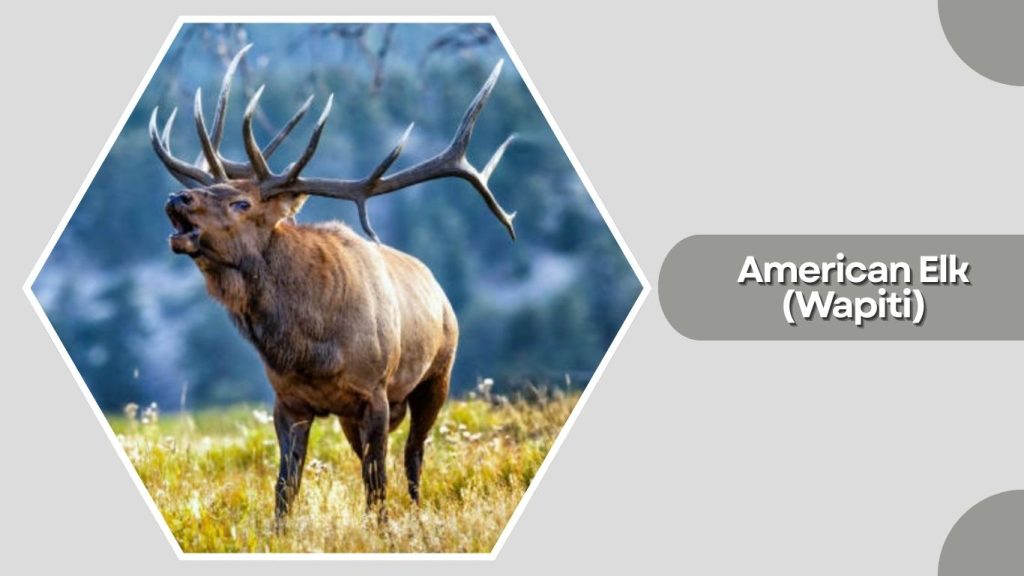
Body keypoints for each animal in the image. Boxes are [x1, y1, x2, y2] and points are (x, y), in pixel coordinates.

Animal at [149, 44, 516, 524]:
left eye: (241, 202)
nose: (177, 196)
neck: (310, 347)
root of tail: (438, 290)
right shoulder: (288, 402)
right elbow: (285, 487)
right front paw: (280, 531)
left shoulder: (375, 394)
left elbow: (376, 484)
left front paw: (382, 529)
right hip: (350, 416)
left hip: (437, 375)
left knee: (413, 455)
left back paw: (418, 513)